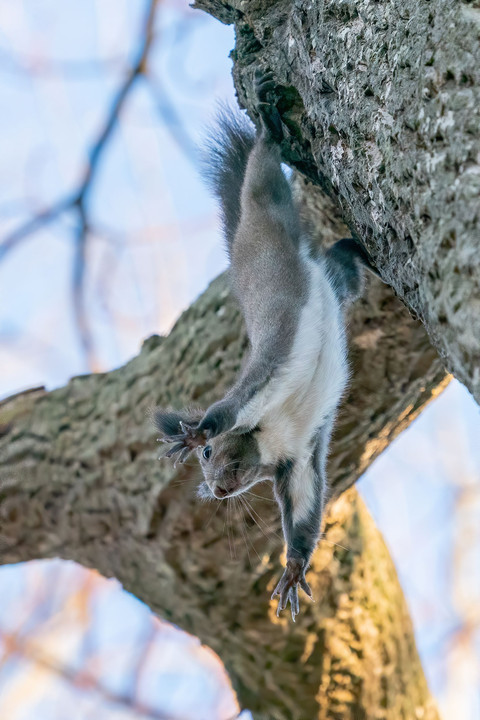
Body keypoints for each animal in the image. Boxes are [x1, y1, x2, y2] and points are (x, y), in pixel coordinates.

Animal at [156, 74, 376, 624]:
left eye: (209, 454)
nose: (216, 489)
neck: (270, 435)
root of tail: (239, 248)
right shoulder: (298, 458)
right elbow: (303, 506)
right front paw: (294, 567)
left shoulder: (265, 376)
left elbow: (226, 408)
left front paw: (194, 431)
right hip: (336, 284)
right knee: (341, 261)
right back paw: (358, 251)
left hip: (266, 220)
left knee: (262, 177)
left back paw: (268, 127)